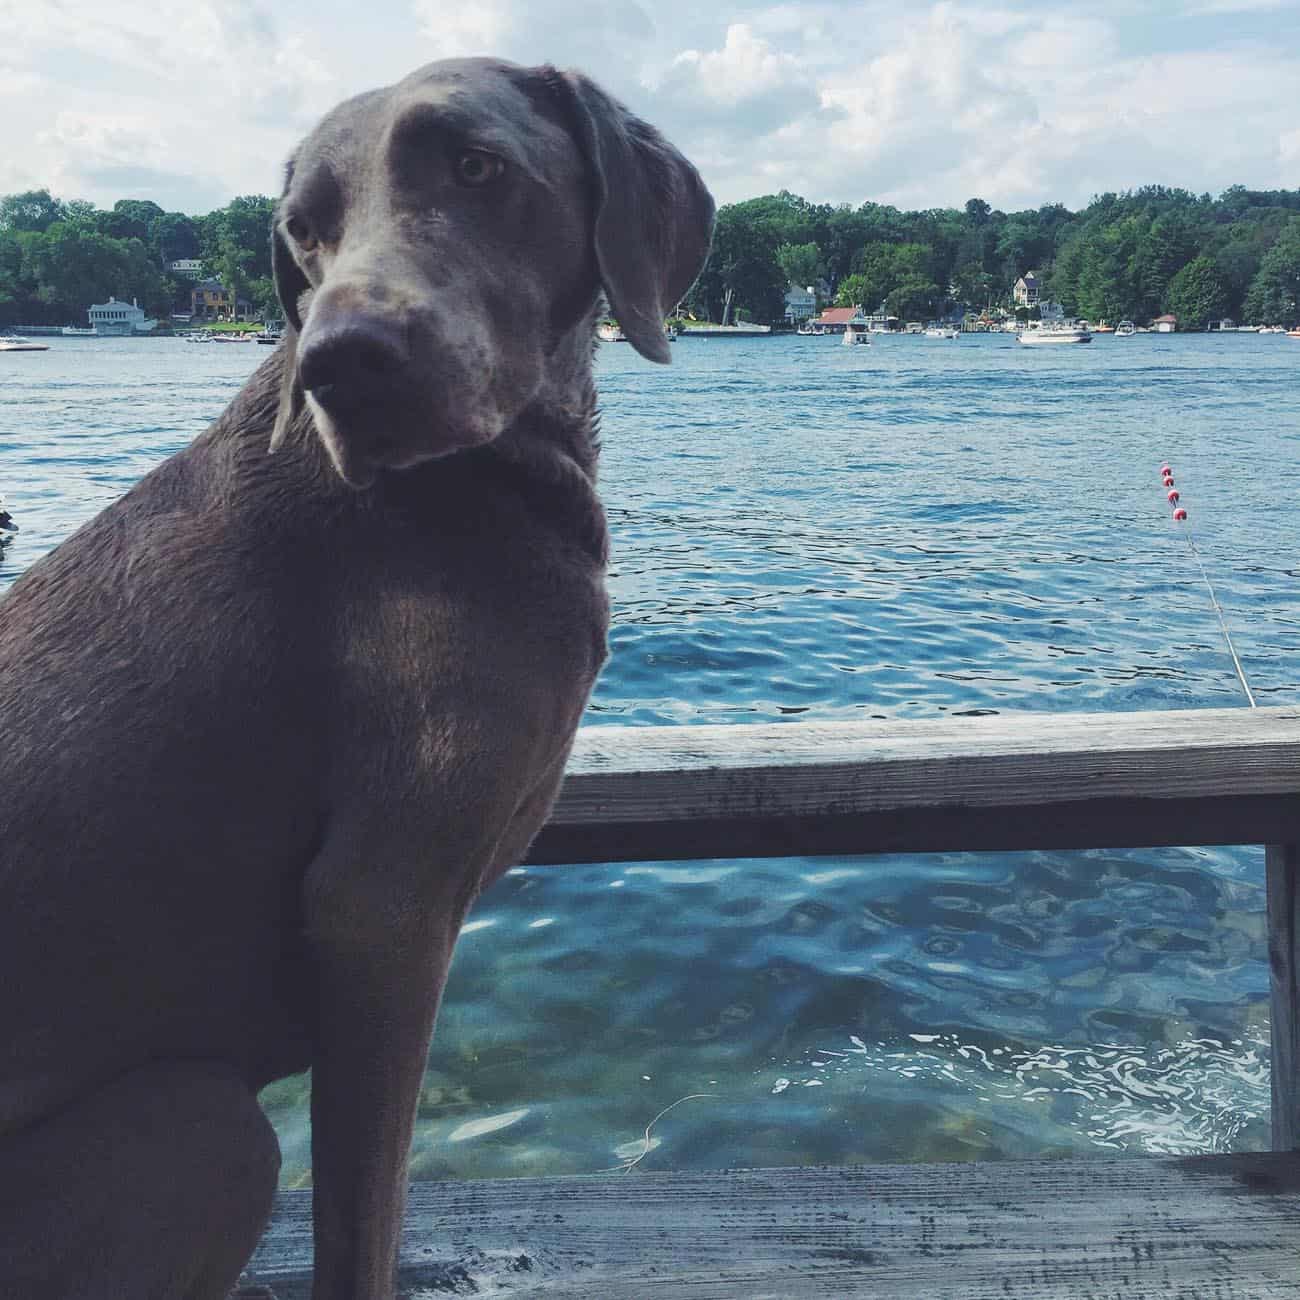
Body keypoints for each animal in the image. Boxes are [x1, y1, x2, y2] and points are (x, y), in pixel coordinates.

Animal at [0, 58, 712, 1300]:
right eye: (302, 231)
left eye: (477, 166)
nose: (343, 362)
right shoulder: (381, 910)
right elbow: (361, 1220)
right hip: (204, 1132)